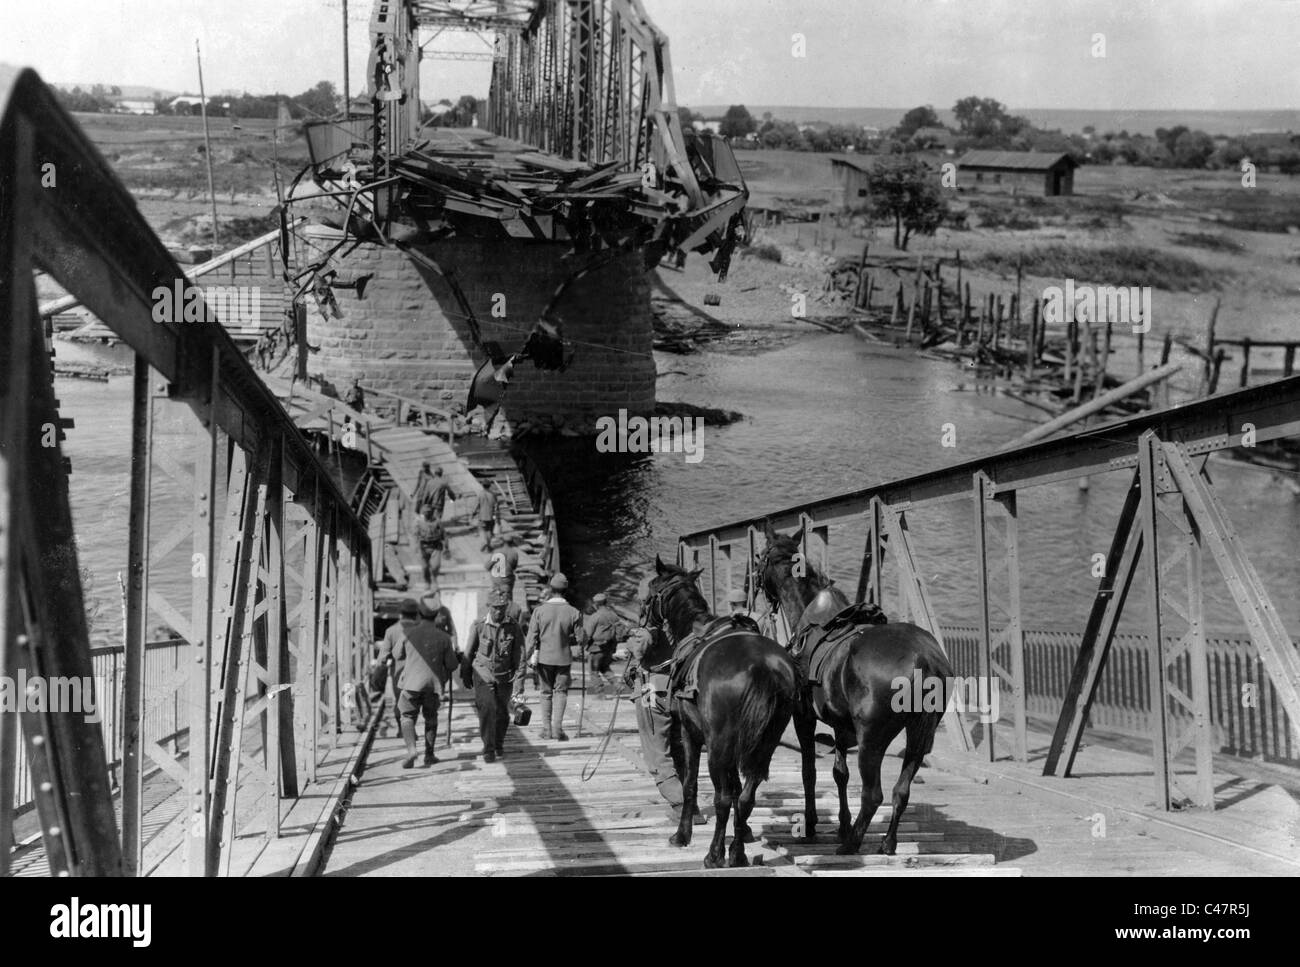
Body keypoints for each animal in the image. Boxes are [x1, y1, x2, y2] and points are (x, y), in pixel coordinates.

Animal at [647, 556, 806, 863]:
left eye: (650, 588)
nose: (644, 617)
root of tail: (762, 667)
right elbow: (736, 790)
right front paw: (741, 836)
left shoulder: (690, 733)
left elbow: (691, 786)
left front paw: (682, 835)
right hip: (764, 742)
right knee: (746, 797)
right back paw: (737, 854)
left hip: (718, 744)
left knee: (721, 797)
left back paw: (714, 854)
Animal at [754, 522, 956, 852]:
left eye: (760, 555)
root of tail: (924, 660)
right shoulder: (840, 725)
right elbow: (840, 774)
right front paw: (843, 825)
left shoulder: (804, 717)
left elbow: (810, 772)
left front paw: (813, 826)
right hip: (920, 735)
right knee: (901, 791)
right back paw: (886, 842)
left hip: (872, 739)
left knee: (874, 794)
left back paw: (852, 844)